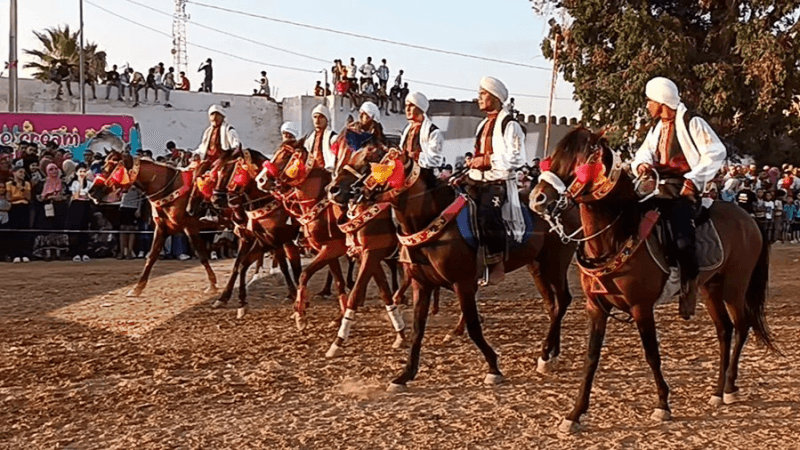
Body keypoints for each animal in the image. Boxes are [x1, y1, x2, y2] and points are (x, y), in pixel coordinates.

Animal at [88, 151, 219, 298]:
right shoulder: (162, 228)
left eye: (109, 168)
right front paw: (137, 287)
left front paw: (212, 284)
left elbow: (201, 254)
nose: (91, 191)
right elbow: (151, 256)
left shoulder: (190, 227)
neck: (169, 188)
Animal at [209, 149, 304, 318]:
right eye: (217, 172)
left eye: (229, 171)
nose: (215, 200)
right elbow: (238, 266)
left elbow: (285, 265)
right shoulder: (250, 239)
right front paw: (225, 298)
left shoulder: (274, 240)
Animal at [328, 137, 580, 390]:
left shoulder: (463, 282)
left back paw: (546, 354)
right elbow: (418, 328)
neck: (431, 219)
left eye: (371, 156)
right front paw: (405, 375)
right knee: (552, 305)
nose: (334, 189)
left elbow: (473, 326)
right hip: (537, 266)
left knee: (563, 301)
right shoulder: (421, 283)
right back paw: (551, 354)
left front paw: (493, 367)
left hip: (555, 263)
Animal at [528, 126, 780, 432]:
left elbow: (651, 354)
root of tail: (748, 218)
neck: (617, 235)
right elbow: (591, 358)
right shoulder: (596, 307)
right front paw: (575, 414)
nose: (537, 198)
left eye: (579, 161)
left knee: (742, 327)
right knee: (725, 330)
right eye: (552, 157)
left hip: (735, 285)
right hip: (710, 287)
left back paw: (730, 388)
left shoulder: (641, 307)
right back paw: (719, 390)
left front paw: (662, 405)